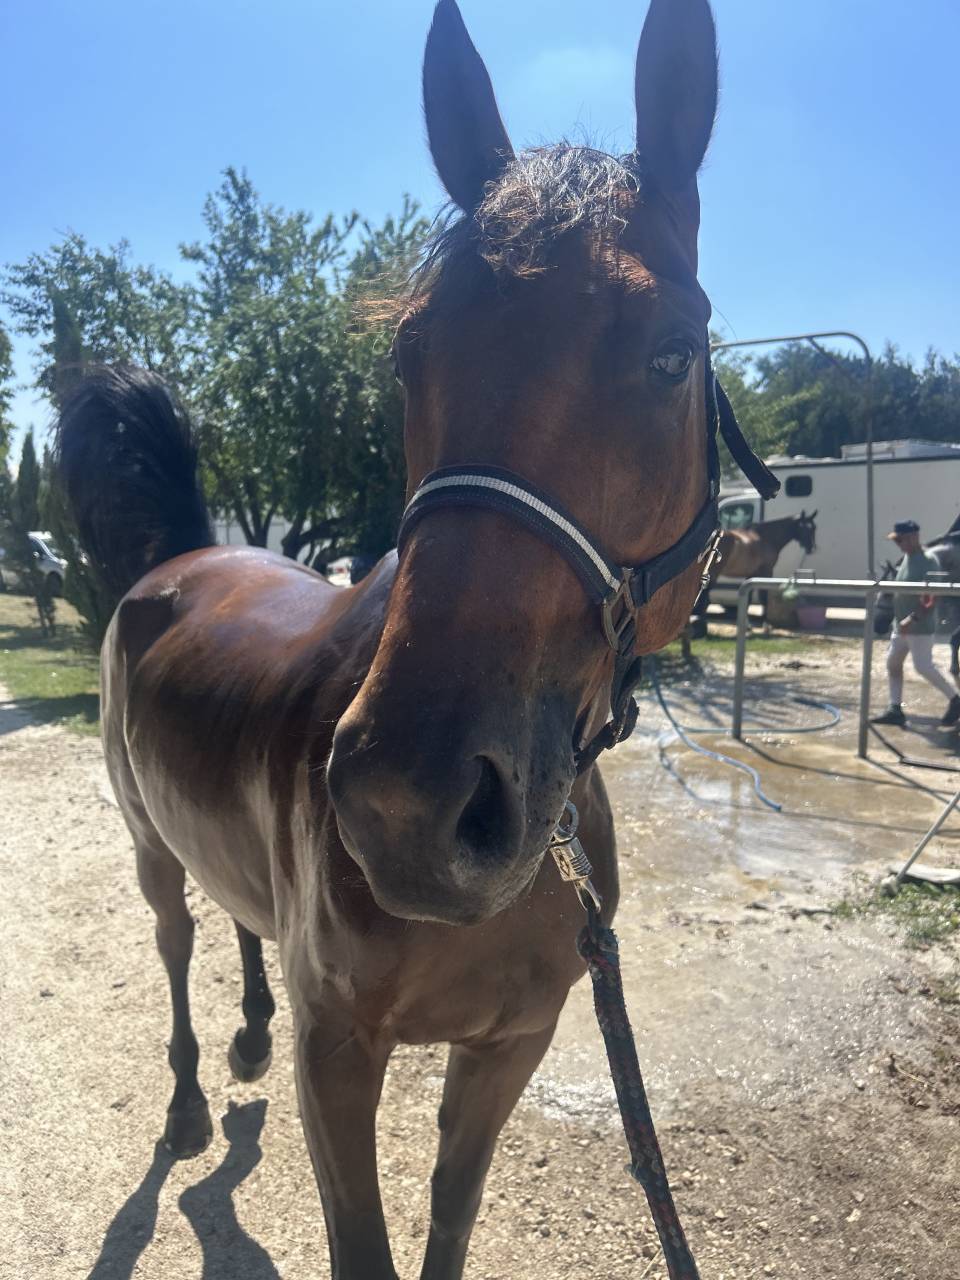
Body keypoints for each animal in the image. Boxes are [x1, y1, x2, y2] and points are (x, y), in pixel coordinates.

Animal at [57, 3, 739, 1276]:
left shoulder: (510, 1045)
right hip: (146, 840)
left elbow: (451, 1220)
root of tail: (182, 558)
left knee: (240, 916)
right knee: (174, 938)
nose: (406, 808)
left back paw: (246, 1030)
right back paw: (188, 1096)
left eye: (673, 351)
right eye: (410, 353)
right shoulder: (340, 1053)